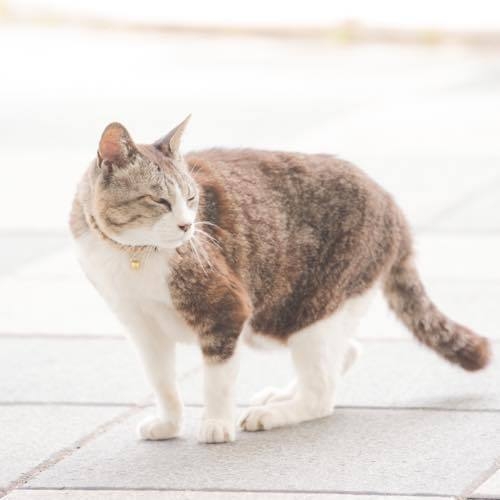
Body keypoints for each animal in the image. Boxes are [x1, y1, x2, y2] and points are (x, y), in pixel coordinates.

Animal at [68, 116, 490, 442]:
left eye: (191, 198)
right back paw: (279, 397)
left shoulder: (227, 309)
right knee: (346, 353)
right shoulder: (141, 327)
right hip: (276, 320)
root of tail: (391, 202)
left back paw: (276, 413)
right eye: (159, 200)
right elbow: (162, 382)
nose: (188, 226)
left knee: (322, 393)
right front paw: (169, 424)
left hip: (300, 307)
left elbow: (217, 380)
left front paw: (216, 423)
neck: (134, 256)